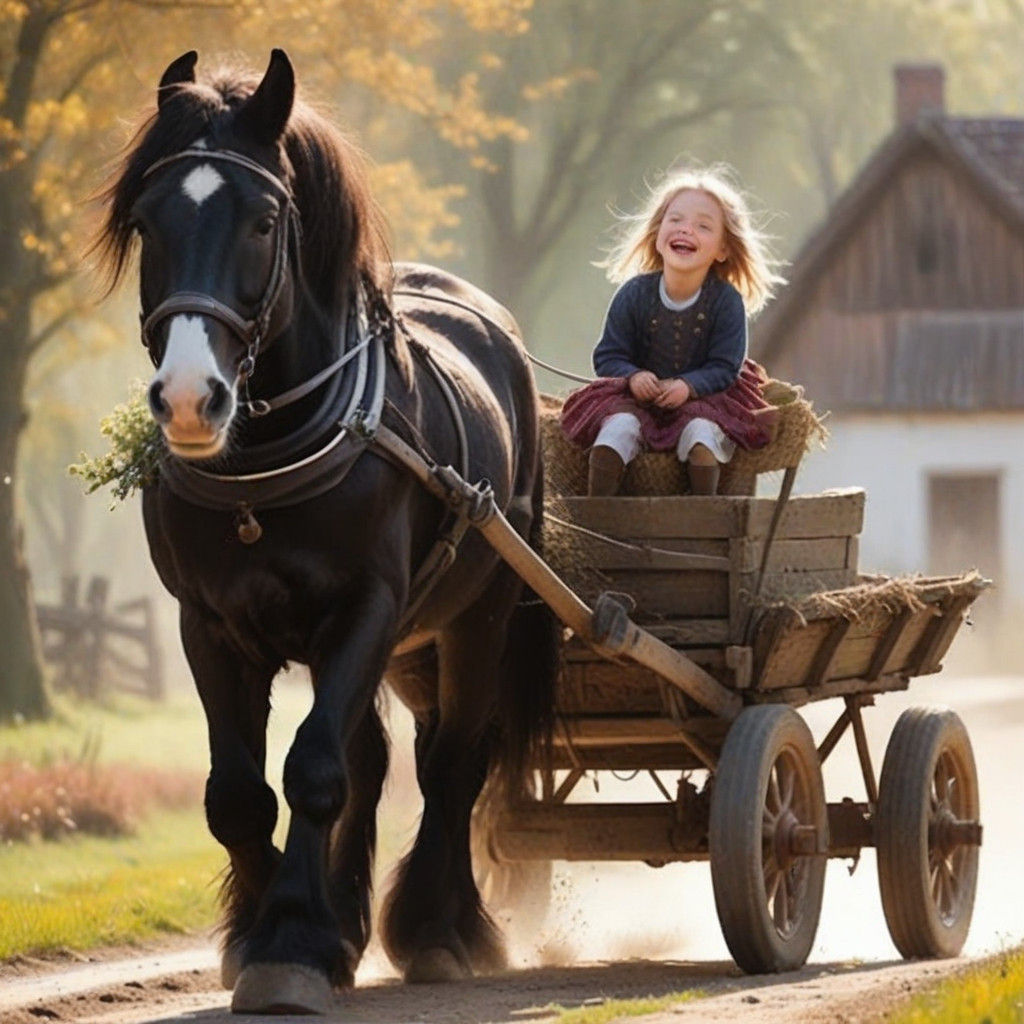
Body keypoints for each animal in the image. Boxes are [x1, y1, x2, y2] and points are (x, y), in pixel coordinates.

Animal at [95, 48, 557, 1014]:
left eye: (264, 220)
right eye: (148, 221)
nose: (190, 399)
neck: (263, 469)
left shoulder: (366, 608)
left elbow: (314, 771)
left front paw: (295, 941)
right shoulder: (209, 624)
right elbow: (240, 792)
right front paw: (267, 930)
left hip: (474, 619)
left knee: (451, 764)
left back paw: (440, 928)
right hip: (403, 648)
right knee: (379, 760)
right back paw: (350, 916)